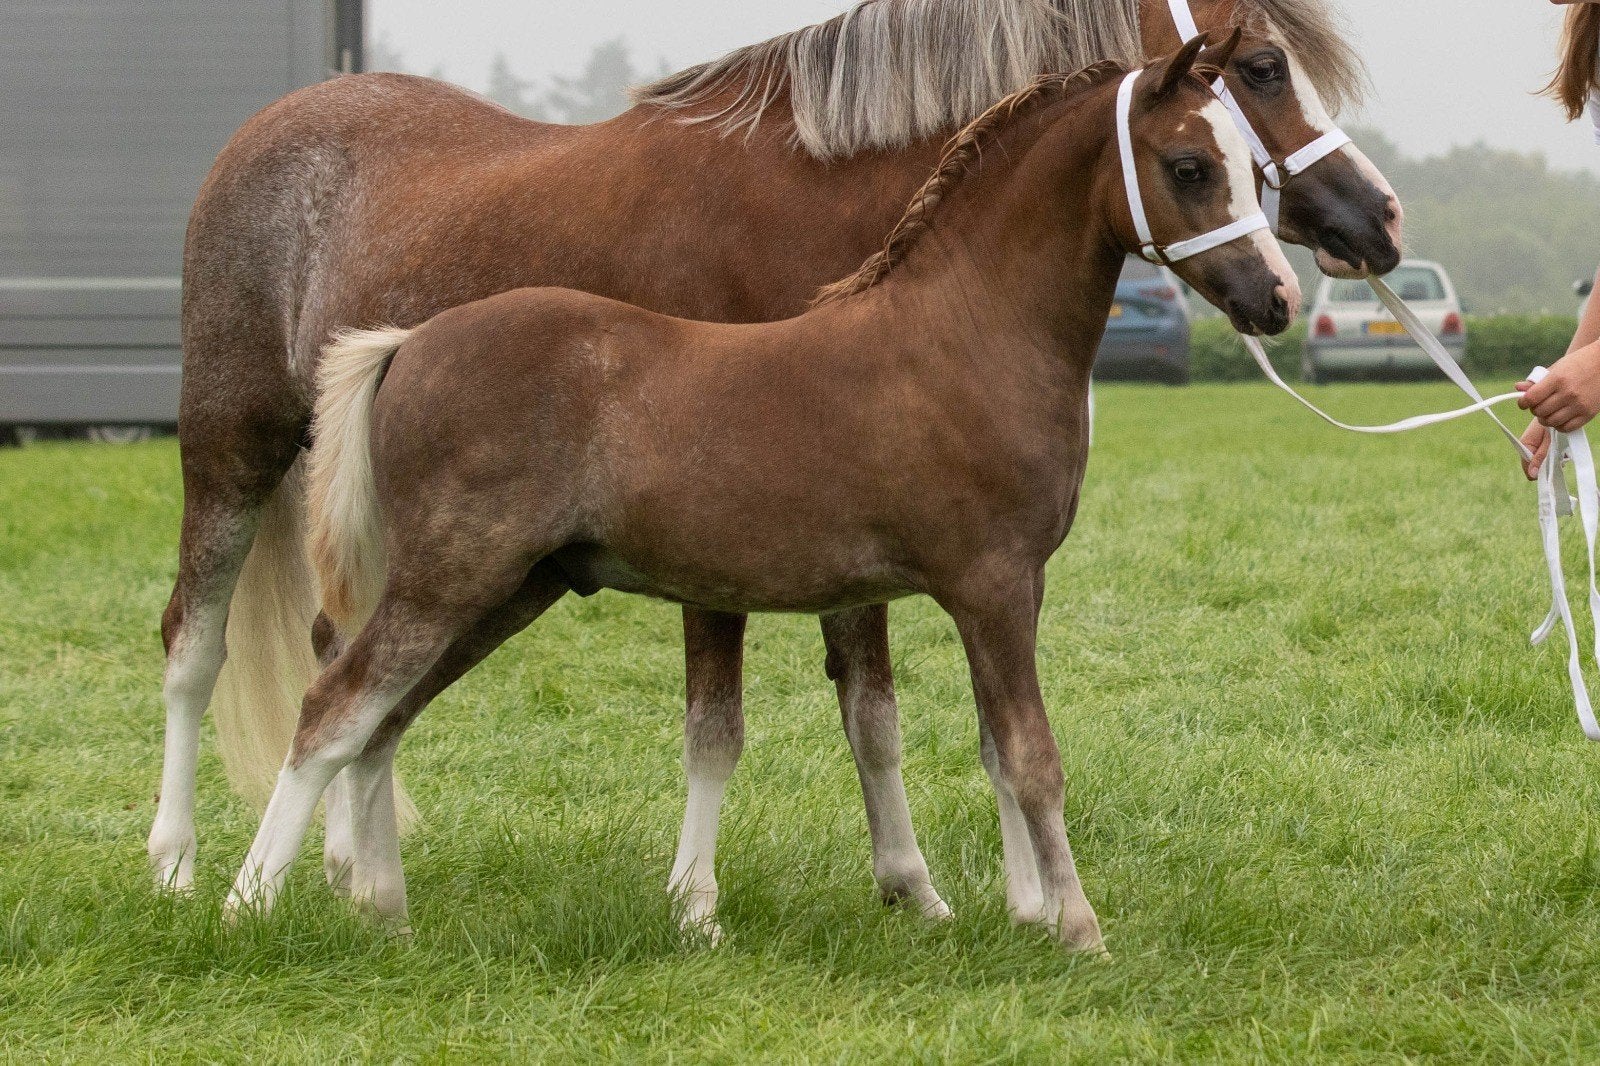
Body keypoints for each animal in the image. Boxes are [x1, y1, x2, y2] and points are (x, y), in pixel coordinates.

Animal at [152, 0, 1401, 926]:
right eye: (1253, 80)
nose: (1365, 231)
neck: (947, 318)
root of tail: (405, 343)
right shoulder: (946, 578)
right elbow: (829, 734)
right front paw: (707, 903)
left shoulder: (944, 582)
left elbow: (915, 723)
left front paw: (952, 895)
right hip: (254, 461)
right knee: (233, 659)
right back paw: (208, 878)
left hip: (496, 582)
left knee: (362, 689)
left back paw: (364, 889)